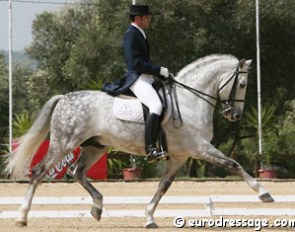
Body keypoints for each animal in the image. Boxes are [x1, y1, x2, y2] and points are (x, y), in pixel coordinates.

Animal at [5, 54, 274, 228]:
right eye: (242, 84)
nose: (235, 115)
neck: (191, 101)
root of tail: (63, 98)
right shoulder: (200, 149)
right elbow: (234, 165)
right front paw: (264, 193)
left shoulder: (180, 156)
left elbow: (163, 186)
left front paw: (149, 217)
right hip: (64, 143)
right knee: (39, 172)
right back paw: (21, 216)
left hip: (94, 146)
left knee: (76, 172)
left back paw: (97, 207)